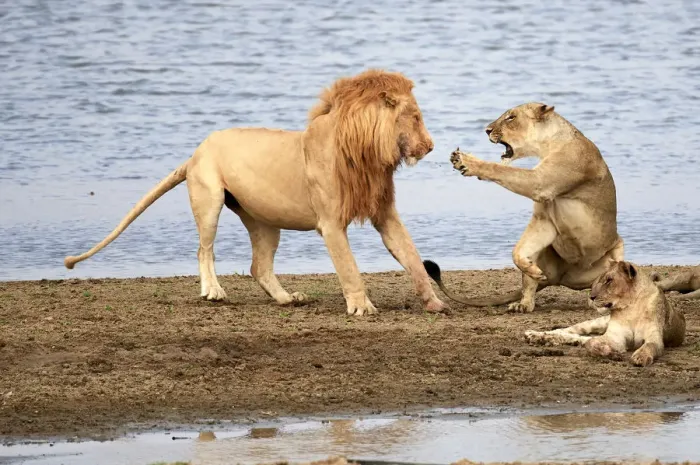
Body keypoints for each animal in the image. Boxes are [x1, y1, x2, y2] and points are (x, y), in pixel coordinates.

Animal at [63, 69, 447, 316]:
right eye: (415, 117)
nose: (431, 147)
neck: (365, 155)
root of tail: (195, 152)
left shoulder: (385, 213)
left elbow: (412, 257)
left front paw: (434, 303)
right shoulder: (330, 224)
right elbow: (349, 267)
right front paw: (361, 307)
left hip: (264, 221)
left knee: (258, 266)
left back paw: (287, 299)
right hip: (210, 199)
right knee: (204, 249)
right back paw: (214, 292)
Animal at [424, 102, 624, 312]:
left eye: (511, 117)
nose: (487, 130)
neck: (547, 145)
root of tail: (561, 277)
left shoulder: (541, 182)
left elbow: (501, 169)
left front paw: (466, 161)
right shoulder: (544, 218)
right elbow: (517, 251)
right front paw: (531, 268)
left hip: (617, 252)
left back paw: (598, 302)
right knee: (530, 287)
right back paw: (523, 303)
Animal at [524, 260, 686, 367]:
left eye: (609, 280)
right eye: (601, 280)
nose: (591, 297)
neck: (630, 308)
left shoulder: (655, 338)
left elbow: (649, 346)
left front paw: (640, 357)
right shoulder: (615, 337)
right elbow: (591, 343)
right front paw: (611, 353)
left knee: (578, 338)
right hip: (597, 322)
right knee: (568, 331)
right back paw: (534, 335)